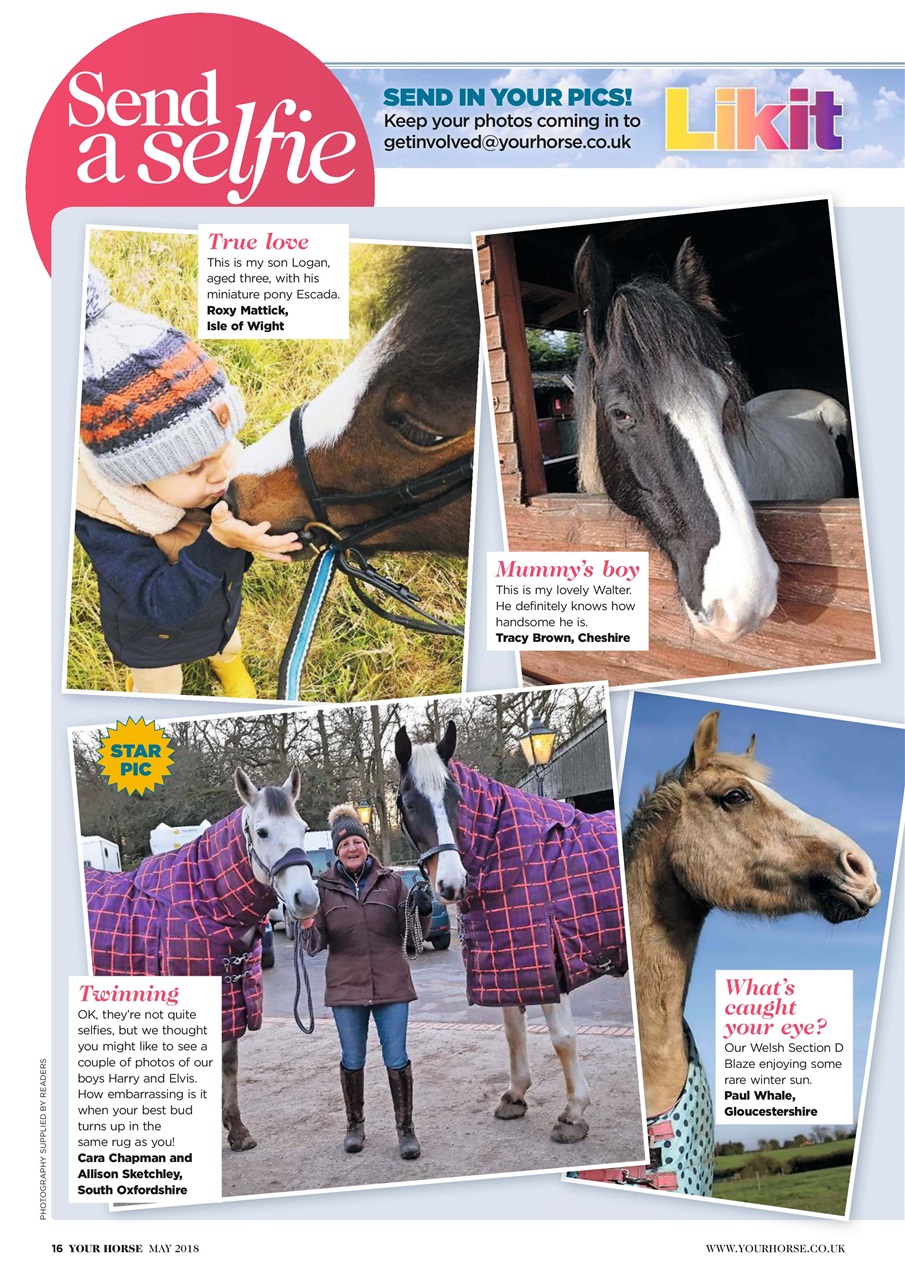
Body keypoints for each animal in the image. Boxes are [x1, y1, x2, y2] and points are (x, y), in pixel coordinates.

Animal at [83, 767, 320, 1152]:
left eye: (302, 828)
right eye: (262, 831)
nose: (307, 899)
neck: (203, 905)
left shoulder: (229, 999)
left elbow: (228, 1062)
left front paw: (237, 1130)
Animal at [394, 720, 627, 1144]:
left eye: (456, 798)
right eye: (409, 802)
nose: (451, 884)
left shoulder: (547, 955)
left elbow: (562, 1038)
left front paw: (573, 1113)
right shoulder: (508, 957)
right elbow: (512, 1030)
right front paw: (515, 1095)